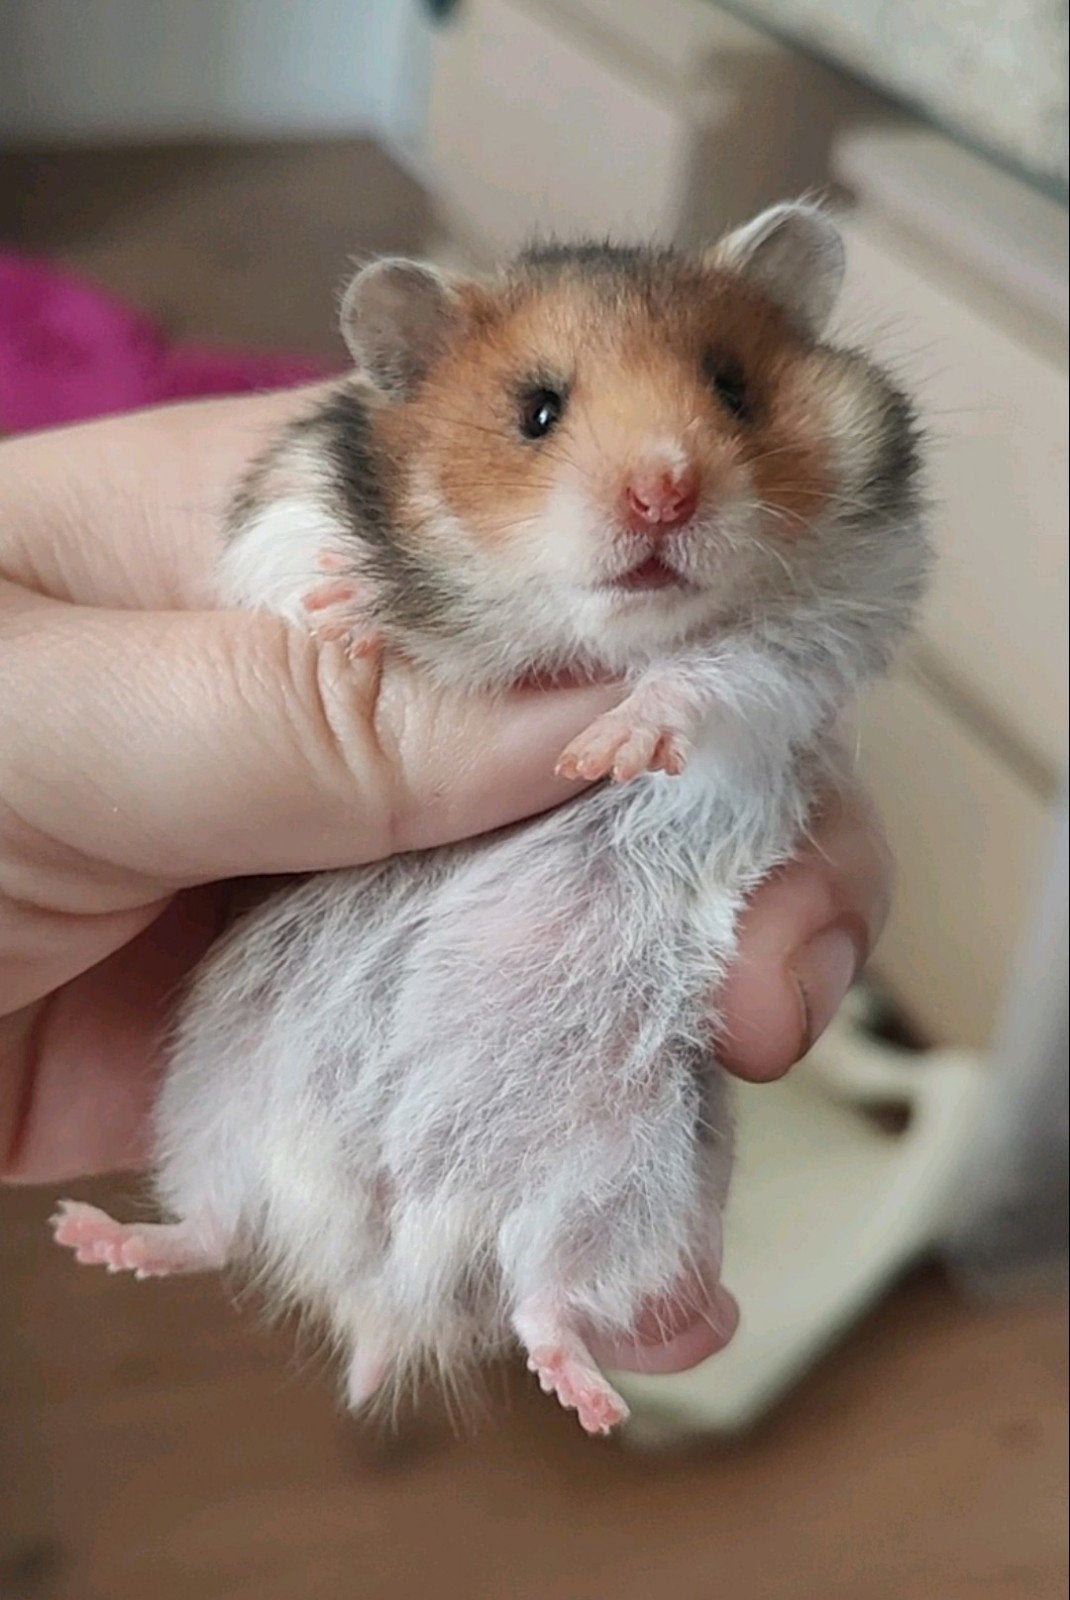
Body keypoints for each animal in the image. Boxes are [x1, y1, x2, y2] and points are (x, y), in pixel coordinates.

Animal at [51, 202, 929, 1435]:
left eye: (733, 387)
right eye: (537, 410)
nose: (663, 493)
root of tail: (385, 1267)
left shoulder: (808, 653)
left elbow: (711, 680)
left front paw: (608, 746)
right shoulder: (276, 505)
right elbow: (291, 570)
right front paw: (344, 608)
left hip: (628, 1185)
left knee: (542, 1299)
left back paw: (590, 1399)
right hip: (208, 1093)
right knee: (212, 1223)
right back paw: (93, 1237)